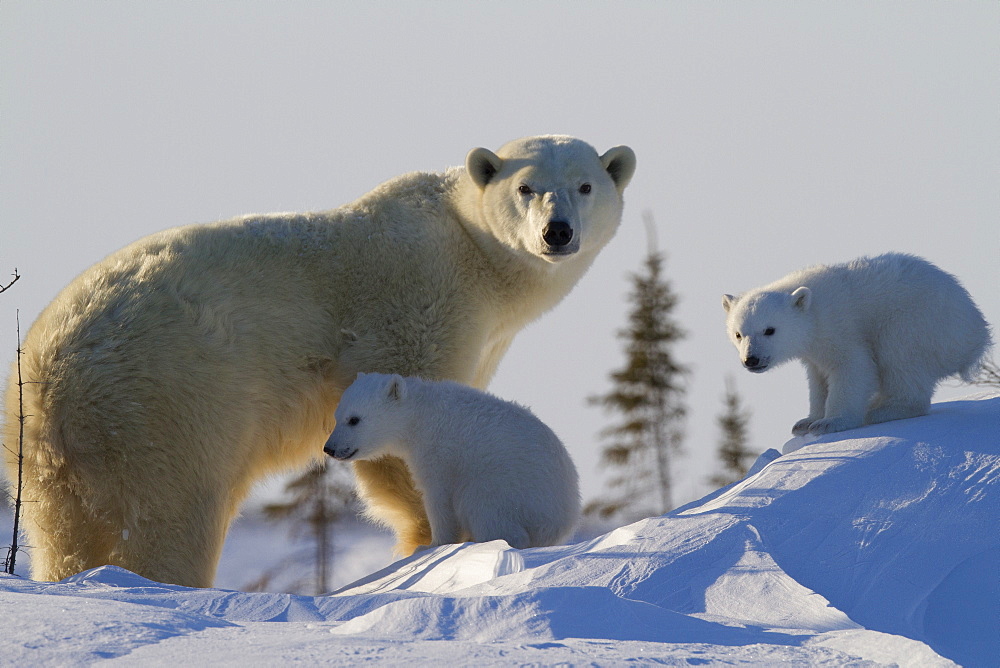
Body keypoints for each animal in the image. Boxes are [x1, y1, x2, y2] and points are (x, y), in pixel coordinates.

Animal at [3, 137, 636, 588]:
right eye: (526, 187)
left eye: (585, 185)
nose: (558, 233)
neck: (470, 250)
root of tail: (51, 371)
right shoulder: (418, 308)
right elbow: (400, 446)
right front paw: (424, 546)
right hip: (167, 406)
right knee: (173, 520)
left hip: (50, 457)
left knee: (64, 535)